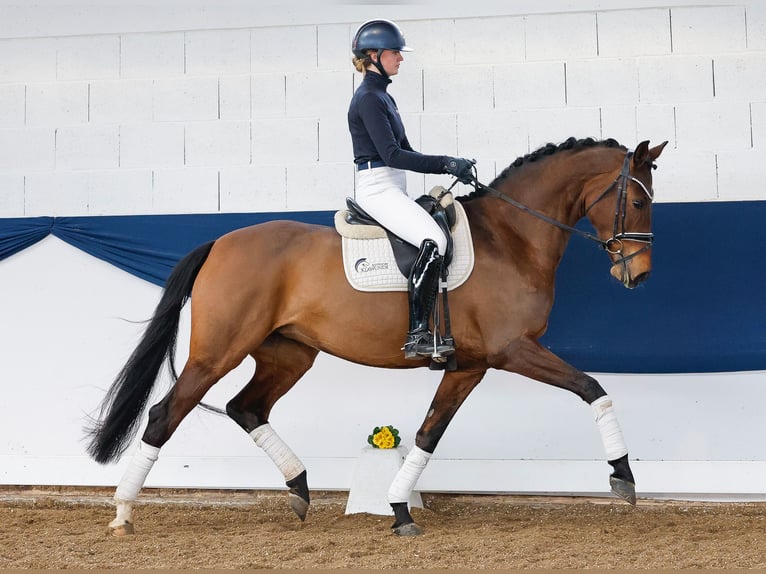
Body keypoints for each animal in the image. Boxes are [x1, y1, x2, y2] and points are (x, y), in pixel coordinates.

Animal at [87, 137, 668, 536]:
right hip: (217, 352)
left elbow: (429, 434)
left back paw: (299, 489)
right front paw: (623, 478)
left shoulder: (468, 365)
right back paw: (123, 513)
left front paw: (398, 509)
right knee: (165, 414)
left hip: (288, 354)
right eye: (640, 203)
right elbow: (592, 388)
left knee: (246, 407)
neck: (510, 238)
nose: (639, 275)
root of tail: (220, 242)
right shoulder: (513, 350)